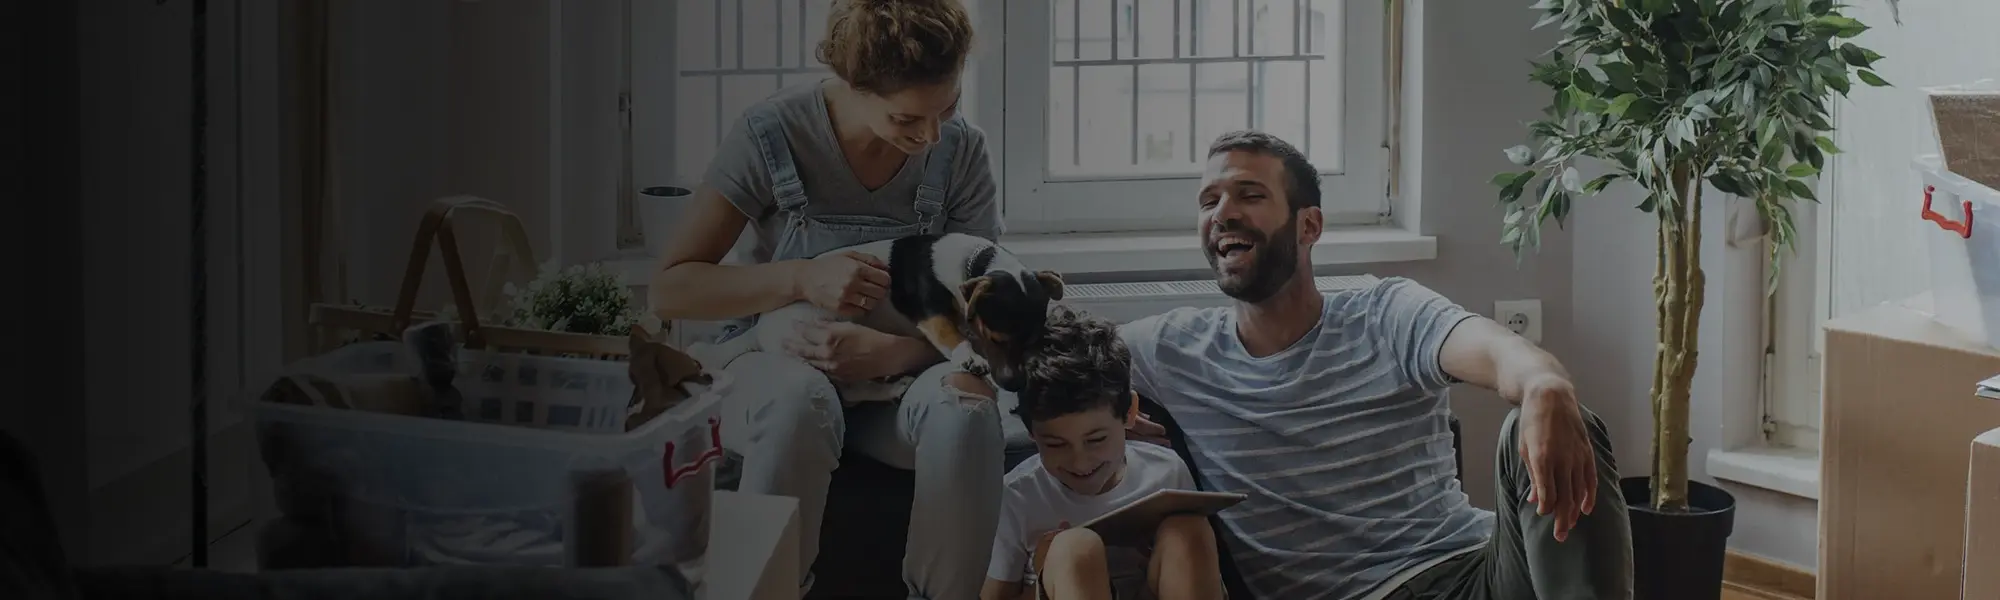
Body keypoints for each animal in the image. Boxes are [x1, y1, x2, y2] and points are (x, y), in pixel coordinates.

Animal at [696, 232, 1064, 396]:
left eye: (1035, 341)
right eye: (997, 339)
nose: (1016, 386)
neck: (974, 261)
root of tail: (759, 333)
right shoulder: (931, 311)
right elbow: (950, 333)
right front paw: (970, 357)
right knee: (851, 391)